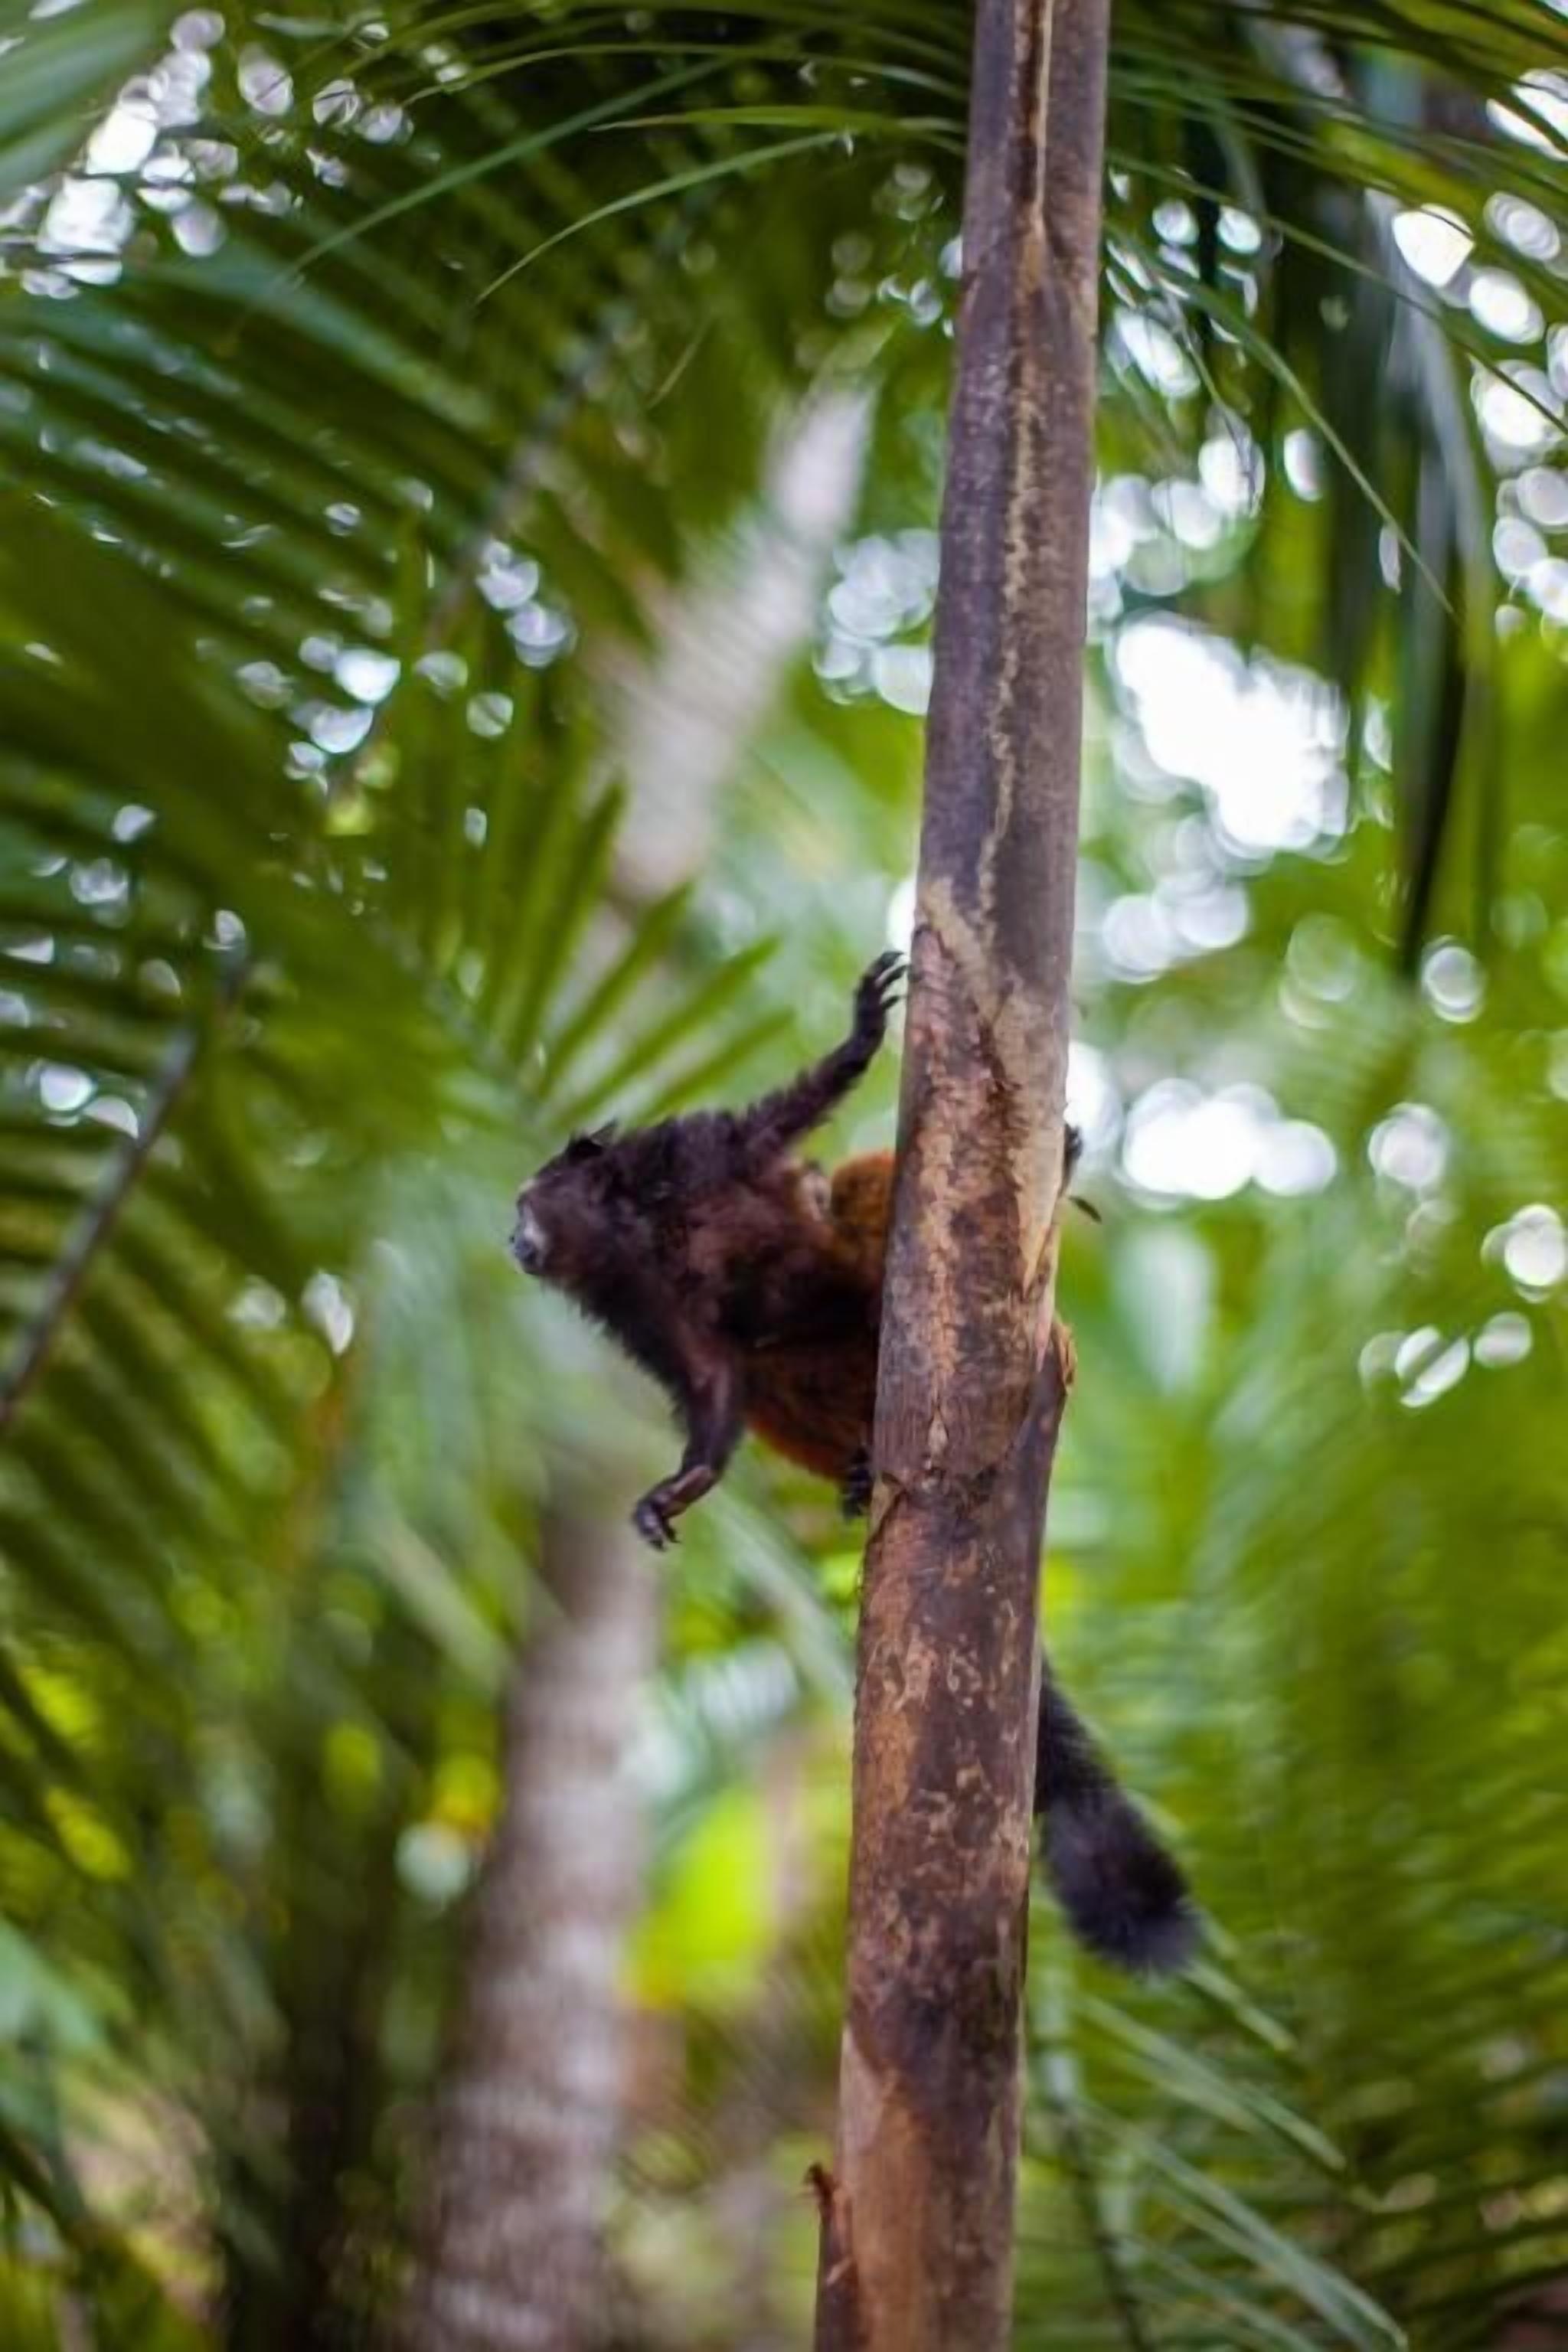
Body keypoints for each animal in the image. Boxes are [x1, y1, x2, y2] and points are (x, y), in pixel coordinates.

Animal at [512, 952, 1195, 1972]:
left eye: (524, 1205)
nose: (511, 1237)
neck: (639, 1235)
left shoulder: (699, 1157)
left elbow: (792, 1116)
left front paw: (859, 1035)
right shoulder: (640, 1307)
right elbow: (720, 1385)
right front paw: (683, 1486)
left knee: (864, 1199)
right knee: (777, 1368)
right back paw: (861, 1470)